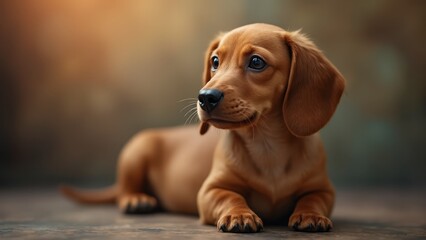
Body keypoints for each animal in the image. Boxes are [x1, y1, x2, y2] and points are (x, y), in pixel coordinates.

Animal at [61, 22, 344, 232]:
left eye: (256, 62)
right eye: (215, 61)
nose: (206, 96)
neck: (267, 146)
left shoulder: (323, 189)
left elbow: (313, 198)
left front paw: (311, 215)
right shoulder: (210, 191)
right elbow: (231, 196)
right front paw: (239, 215)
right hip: (137, 149)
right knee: (125, 189)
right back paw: (136, 199)